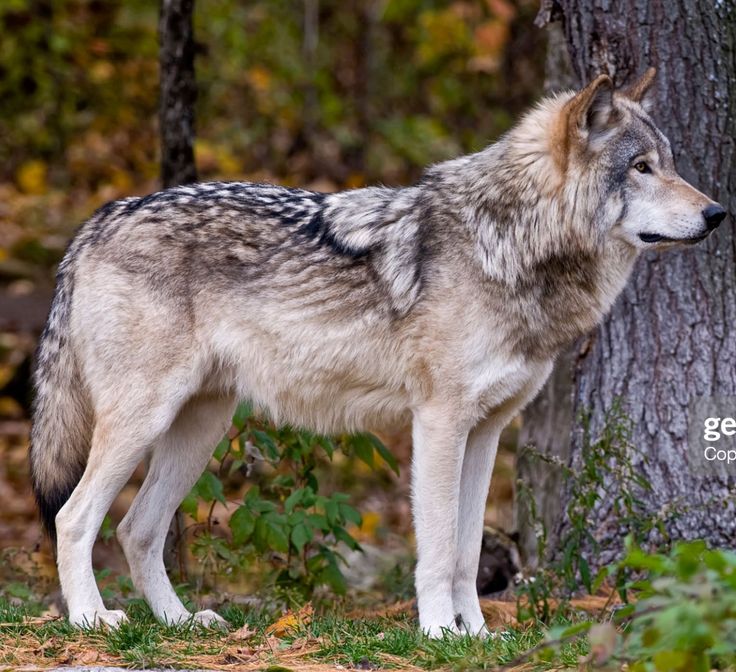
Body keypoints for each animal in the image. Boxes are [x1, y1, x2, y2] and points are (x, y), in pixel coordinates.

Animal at [30, 68, 724, 636]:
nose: (717, 213)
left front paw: (477, 636)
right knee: (74, 518)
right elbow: (439, 548)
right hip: (143, 421)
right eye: (641, 168)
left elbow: (468, 552)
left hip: (199, 428)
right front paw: (439, 633)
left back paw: (179, 623)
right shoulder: (439, 423)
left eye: (669, 162)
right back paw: (92, 620)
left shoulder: (487, 431)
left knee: (136, 529)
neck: (507, 242)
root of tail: (98, 221)